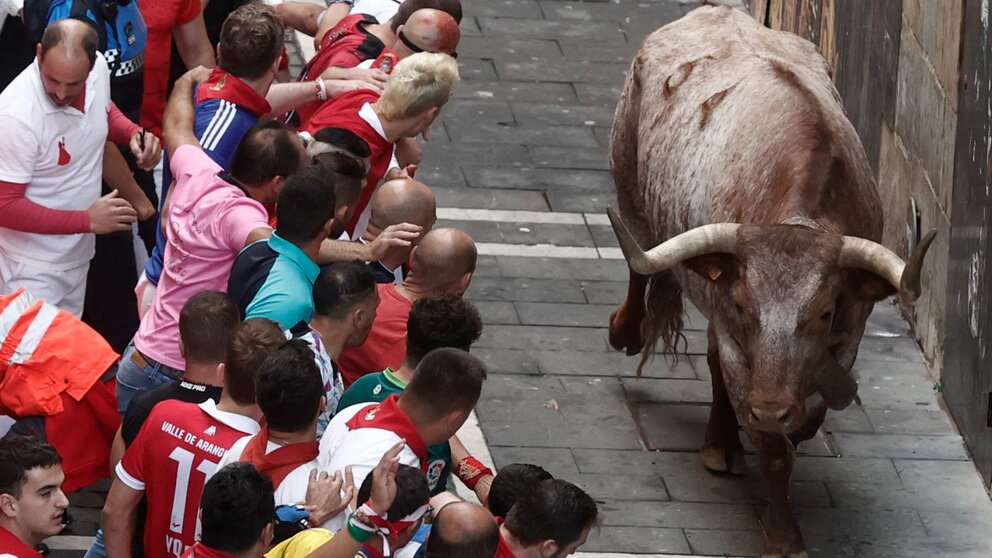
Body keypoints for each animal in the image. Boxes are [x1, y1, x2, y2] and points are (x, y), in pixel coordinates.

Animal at [604, 5, 936, 558]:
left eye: (824, 312)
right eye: (744, 306)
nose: (767, 408)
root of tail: (711, 10)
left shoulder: (848, 335)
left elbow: (806, 417)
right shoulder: (736, 338)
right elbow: (774, 448)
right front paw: (783, 534)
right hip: (628, 183)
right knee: (639, 259)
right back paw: (632, 338)